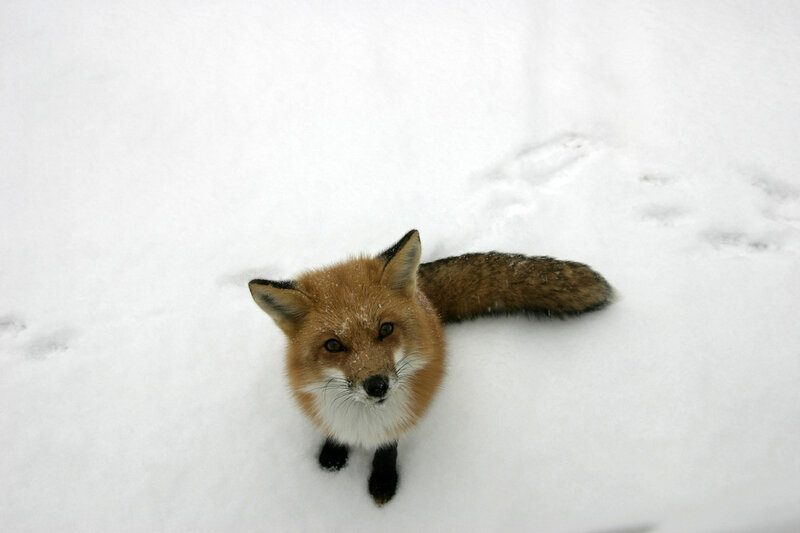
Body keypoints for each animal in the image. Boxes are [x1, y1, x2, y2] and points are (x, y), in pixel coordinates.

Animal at [248, 229, 612, 505]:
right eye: (333, 345)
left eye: (386, 329)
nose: (377, 385)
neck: (364, 422)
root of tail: (423, 294)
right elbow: (333, 433)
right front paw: (333, 456)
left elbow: (388, 447)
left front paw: (383, 481)